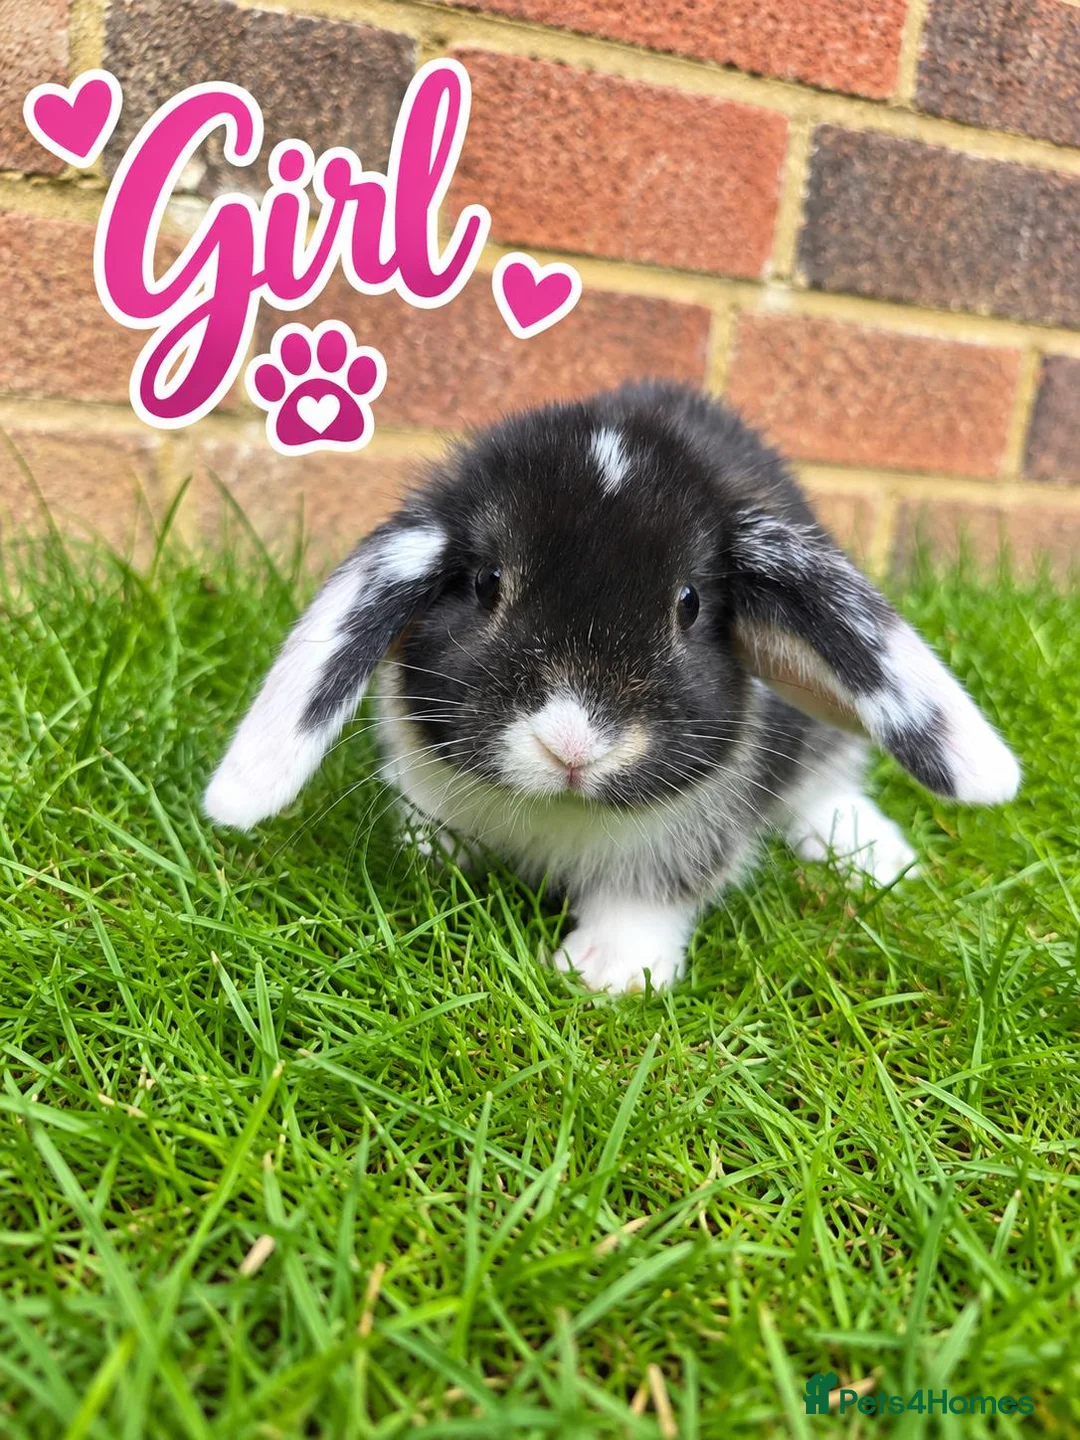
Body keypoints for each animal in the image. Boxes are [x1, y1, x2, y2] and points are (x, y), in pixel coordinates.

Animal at [204, 381, 1020, 994]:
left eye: (690, 604)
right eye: (486, 583)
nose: (573, 744)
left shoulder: (678, 849)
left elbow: (645, 901)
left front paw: (604, 976)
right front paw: (430, 861)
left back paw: (876, 857)